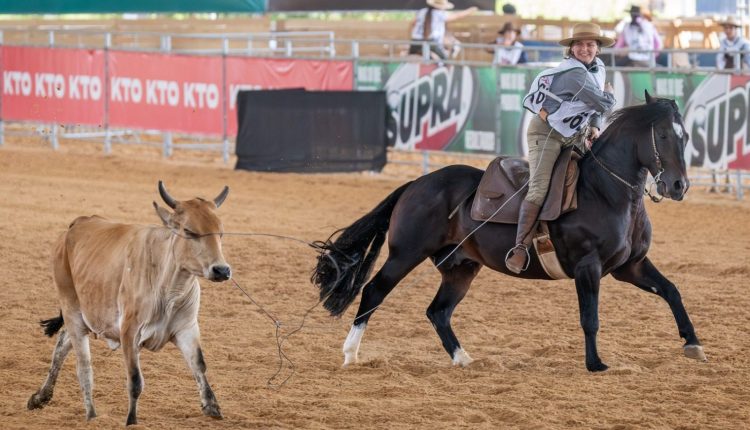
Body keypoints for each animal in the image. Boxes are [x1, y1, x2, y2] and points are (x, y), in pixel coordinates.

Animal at [27, 180, 232, 424]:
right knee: (84, 368)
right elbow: (135, 381)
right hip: (71, 308)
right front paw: (131, 421)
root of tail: (79, 223)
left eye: (221, 233)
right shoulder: (129, 332)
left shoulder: (186, 328)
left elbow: (199, 364)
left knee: (62, 343)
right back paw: (91, 415)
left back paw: (40, 397)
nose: (222, 270)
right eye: (189, 231)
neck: (168, 287)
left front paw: (212, 406)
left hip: (84, 317)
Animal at [312, 91, 704, 372]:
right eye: (664, 134)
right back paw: (350, 354)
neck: (605, 191)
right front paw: (595, 364)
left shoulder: (630, 266)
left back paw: (463, 358)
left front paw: (693, 344)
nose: (678, 185)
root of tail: (417, 184)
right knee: (373, 292)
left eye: (686, 136)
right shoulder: (588, 267)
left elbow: (672, 291)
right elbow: (590, 317)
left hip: (460, 267)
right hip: (405, 254)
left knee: (438, 312)